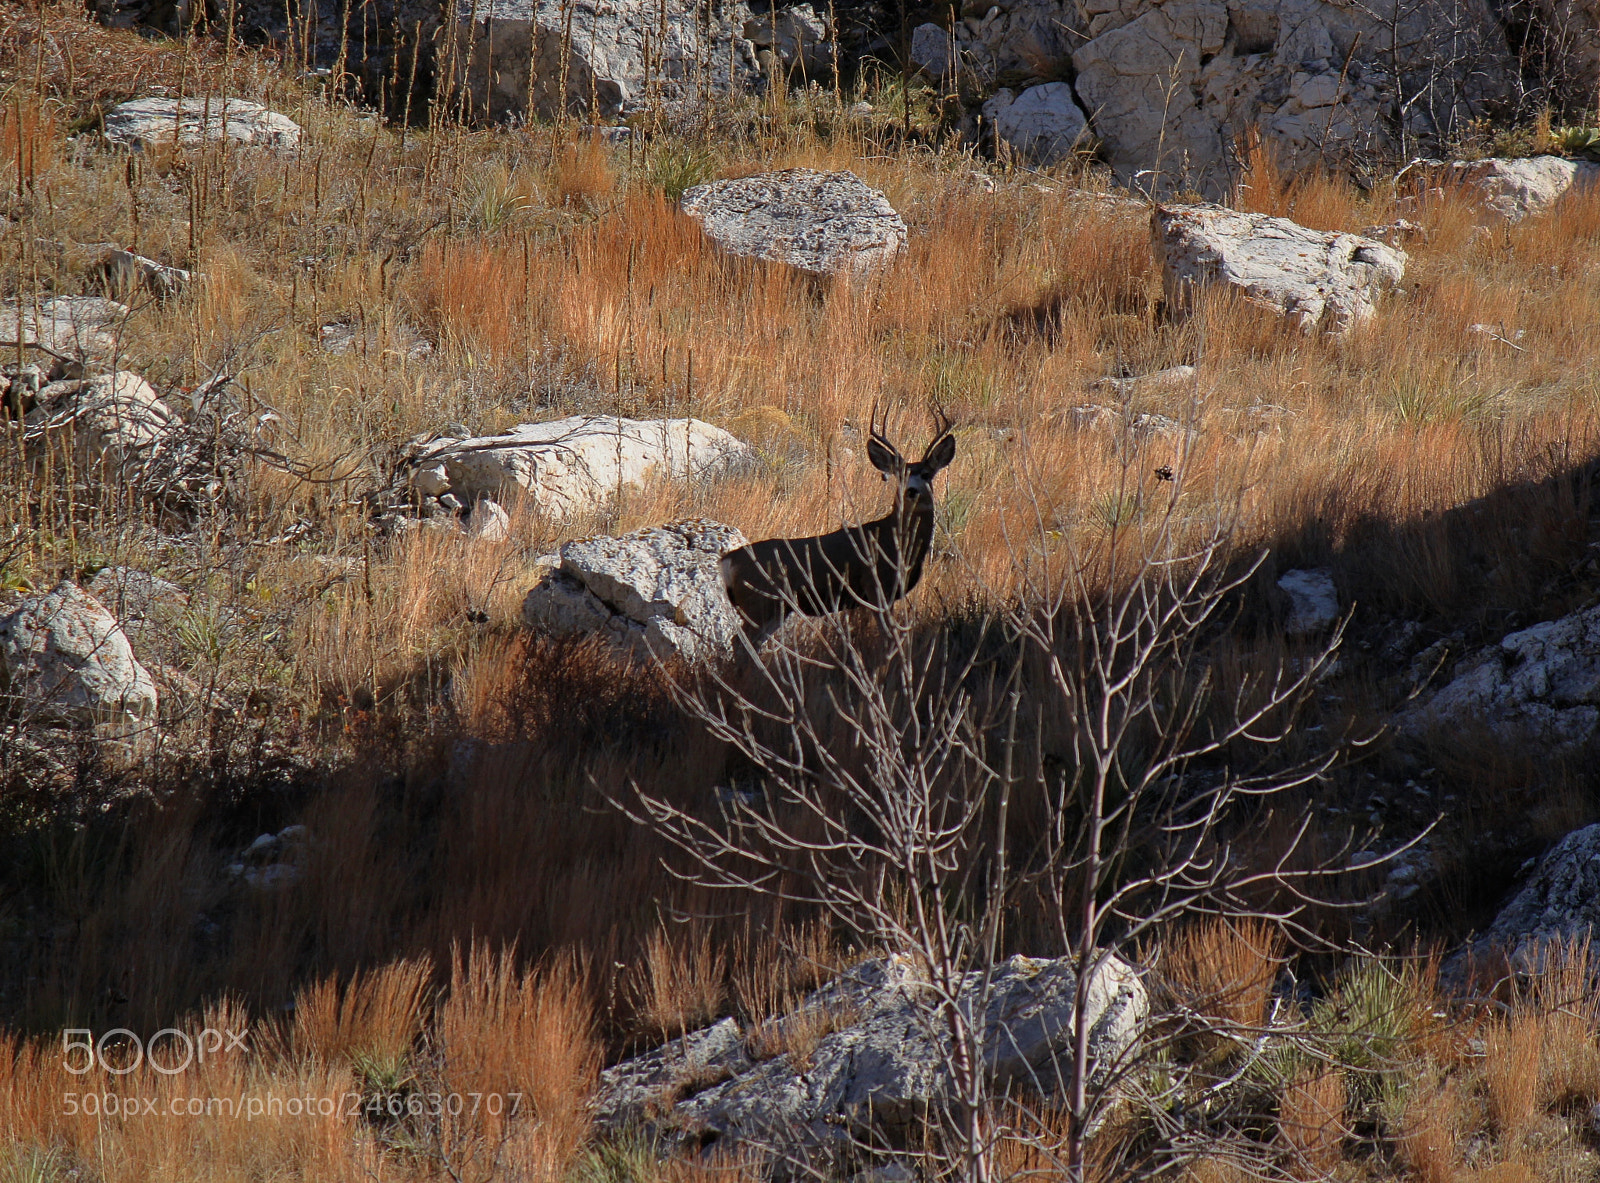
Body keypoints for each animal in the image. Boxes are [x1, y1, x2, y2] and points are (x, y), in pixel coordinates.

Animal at [720, 407, 957, 645]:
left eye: (926, 474)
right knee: (740, 642)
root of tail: (729, 560)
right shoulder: (876, 586)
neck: (894, 539)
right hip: (761, 602)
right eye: (900, 476)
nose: (911, 491)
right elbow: (888, 637)